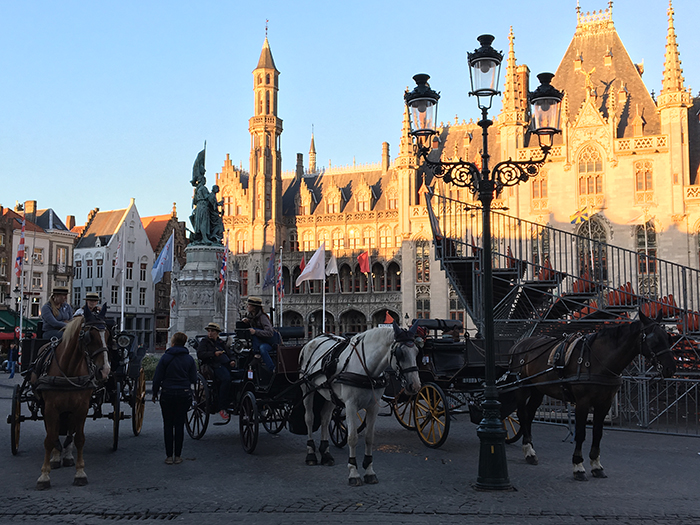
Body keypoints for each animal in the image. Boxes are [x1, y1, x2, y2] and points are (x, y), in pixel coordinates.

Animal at [30, 308, 110, 488]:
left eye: (108, 335)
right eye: (89, 336)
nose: (105, 371)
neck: (69, 369)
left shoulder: (81, 407)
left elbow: (79, 438)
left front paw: (80, 473)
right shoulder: (50, 407)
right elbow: (50, 438)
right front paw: (44, 475)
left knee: (68, 431)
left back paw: (66, 456)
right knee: (53, 432)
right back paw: (55, 457)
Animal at [296, 322, 418, 486]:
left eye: (417, 351)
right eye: (400, 353)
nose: (415, 386)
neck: (367, 370)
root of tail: (313, 340)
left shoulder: (373, 406)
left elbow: (369, 438)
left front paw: (369, 471)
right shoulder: (350, 405)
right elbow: (352, 437)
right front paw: (353, 472)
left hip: (329, 394)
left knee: (324, 419)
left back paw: (326, 454)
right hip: (307, 389)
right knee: (309, 418)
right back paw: (311, 455)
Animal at [506, 312, 676, 478]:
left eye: (668, 338)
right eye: (654, 339)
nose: (671, 368)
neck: (598, 360)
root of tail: (518, 345)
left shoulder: (605, 403)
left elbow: (598, 432)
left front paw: (596, 465)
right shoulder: (583, 402)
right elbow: (581, 433)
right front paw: (578, 466)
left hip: (537, 389)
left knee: (529, 414)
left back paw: (530, 448)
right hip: (522, 387)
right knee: (522, 414)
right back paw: (529, 451)